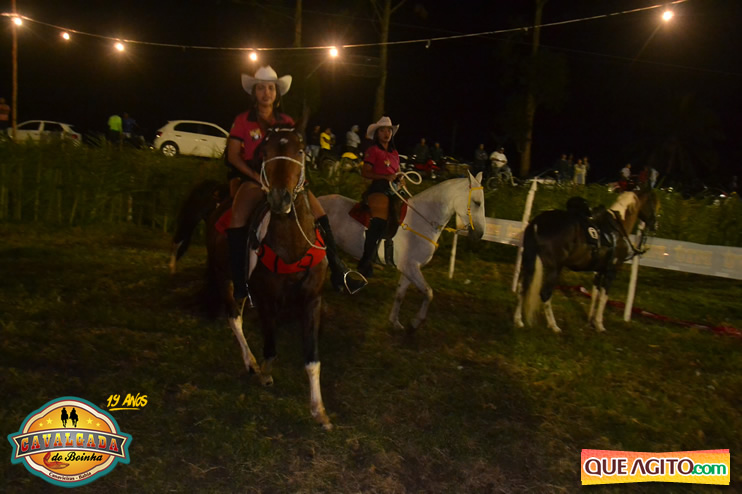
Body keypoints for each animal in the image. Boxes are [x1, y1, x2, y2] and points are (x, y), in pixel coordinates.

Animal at [204, 126, 332, 429]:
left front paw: (319, 410)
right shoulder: (265, 300)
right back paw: (250, 362)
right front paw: (264, 373)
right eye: (265, 151)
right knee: (234, 317)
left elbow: (312, 359)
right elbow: (271, 347)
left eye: (300, 150)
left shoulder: (312, 300)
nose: (280, 198)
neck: (292, 246)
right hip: (224, 277)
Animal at [318, 171, 486, 331]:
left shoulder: (409, 269)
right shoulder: (409, 267)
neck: (421, 220)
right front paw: (415, 323)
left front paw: (395, 322)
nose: (479, 234)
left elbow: (400, 295)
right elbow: (429, 292)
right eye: (477, 202)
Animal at [514, 188, 659, 333]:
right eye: (654, 203)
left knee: (522, 287)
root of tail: (538, 223)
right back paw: (554, 326)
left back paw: (518, 321)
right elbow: (604, 297)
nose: (654, 224)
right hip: (554, 268)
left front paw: (590, 322)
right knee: (545, 293)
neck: (618, 227)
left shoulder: (599, 271)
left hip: (529, 262)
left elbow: (595, 295)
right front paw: (599, 325)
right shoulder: (611, 271)